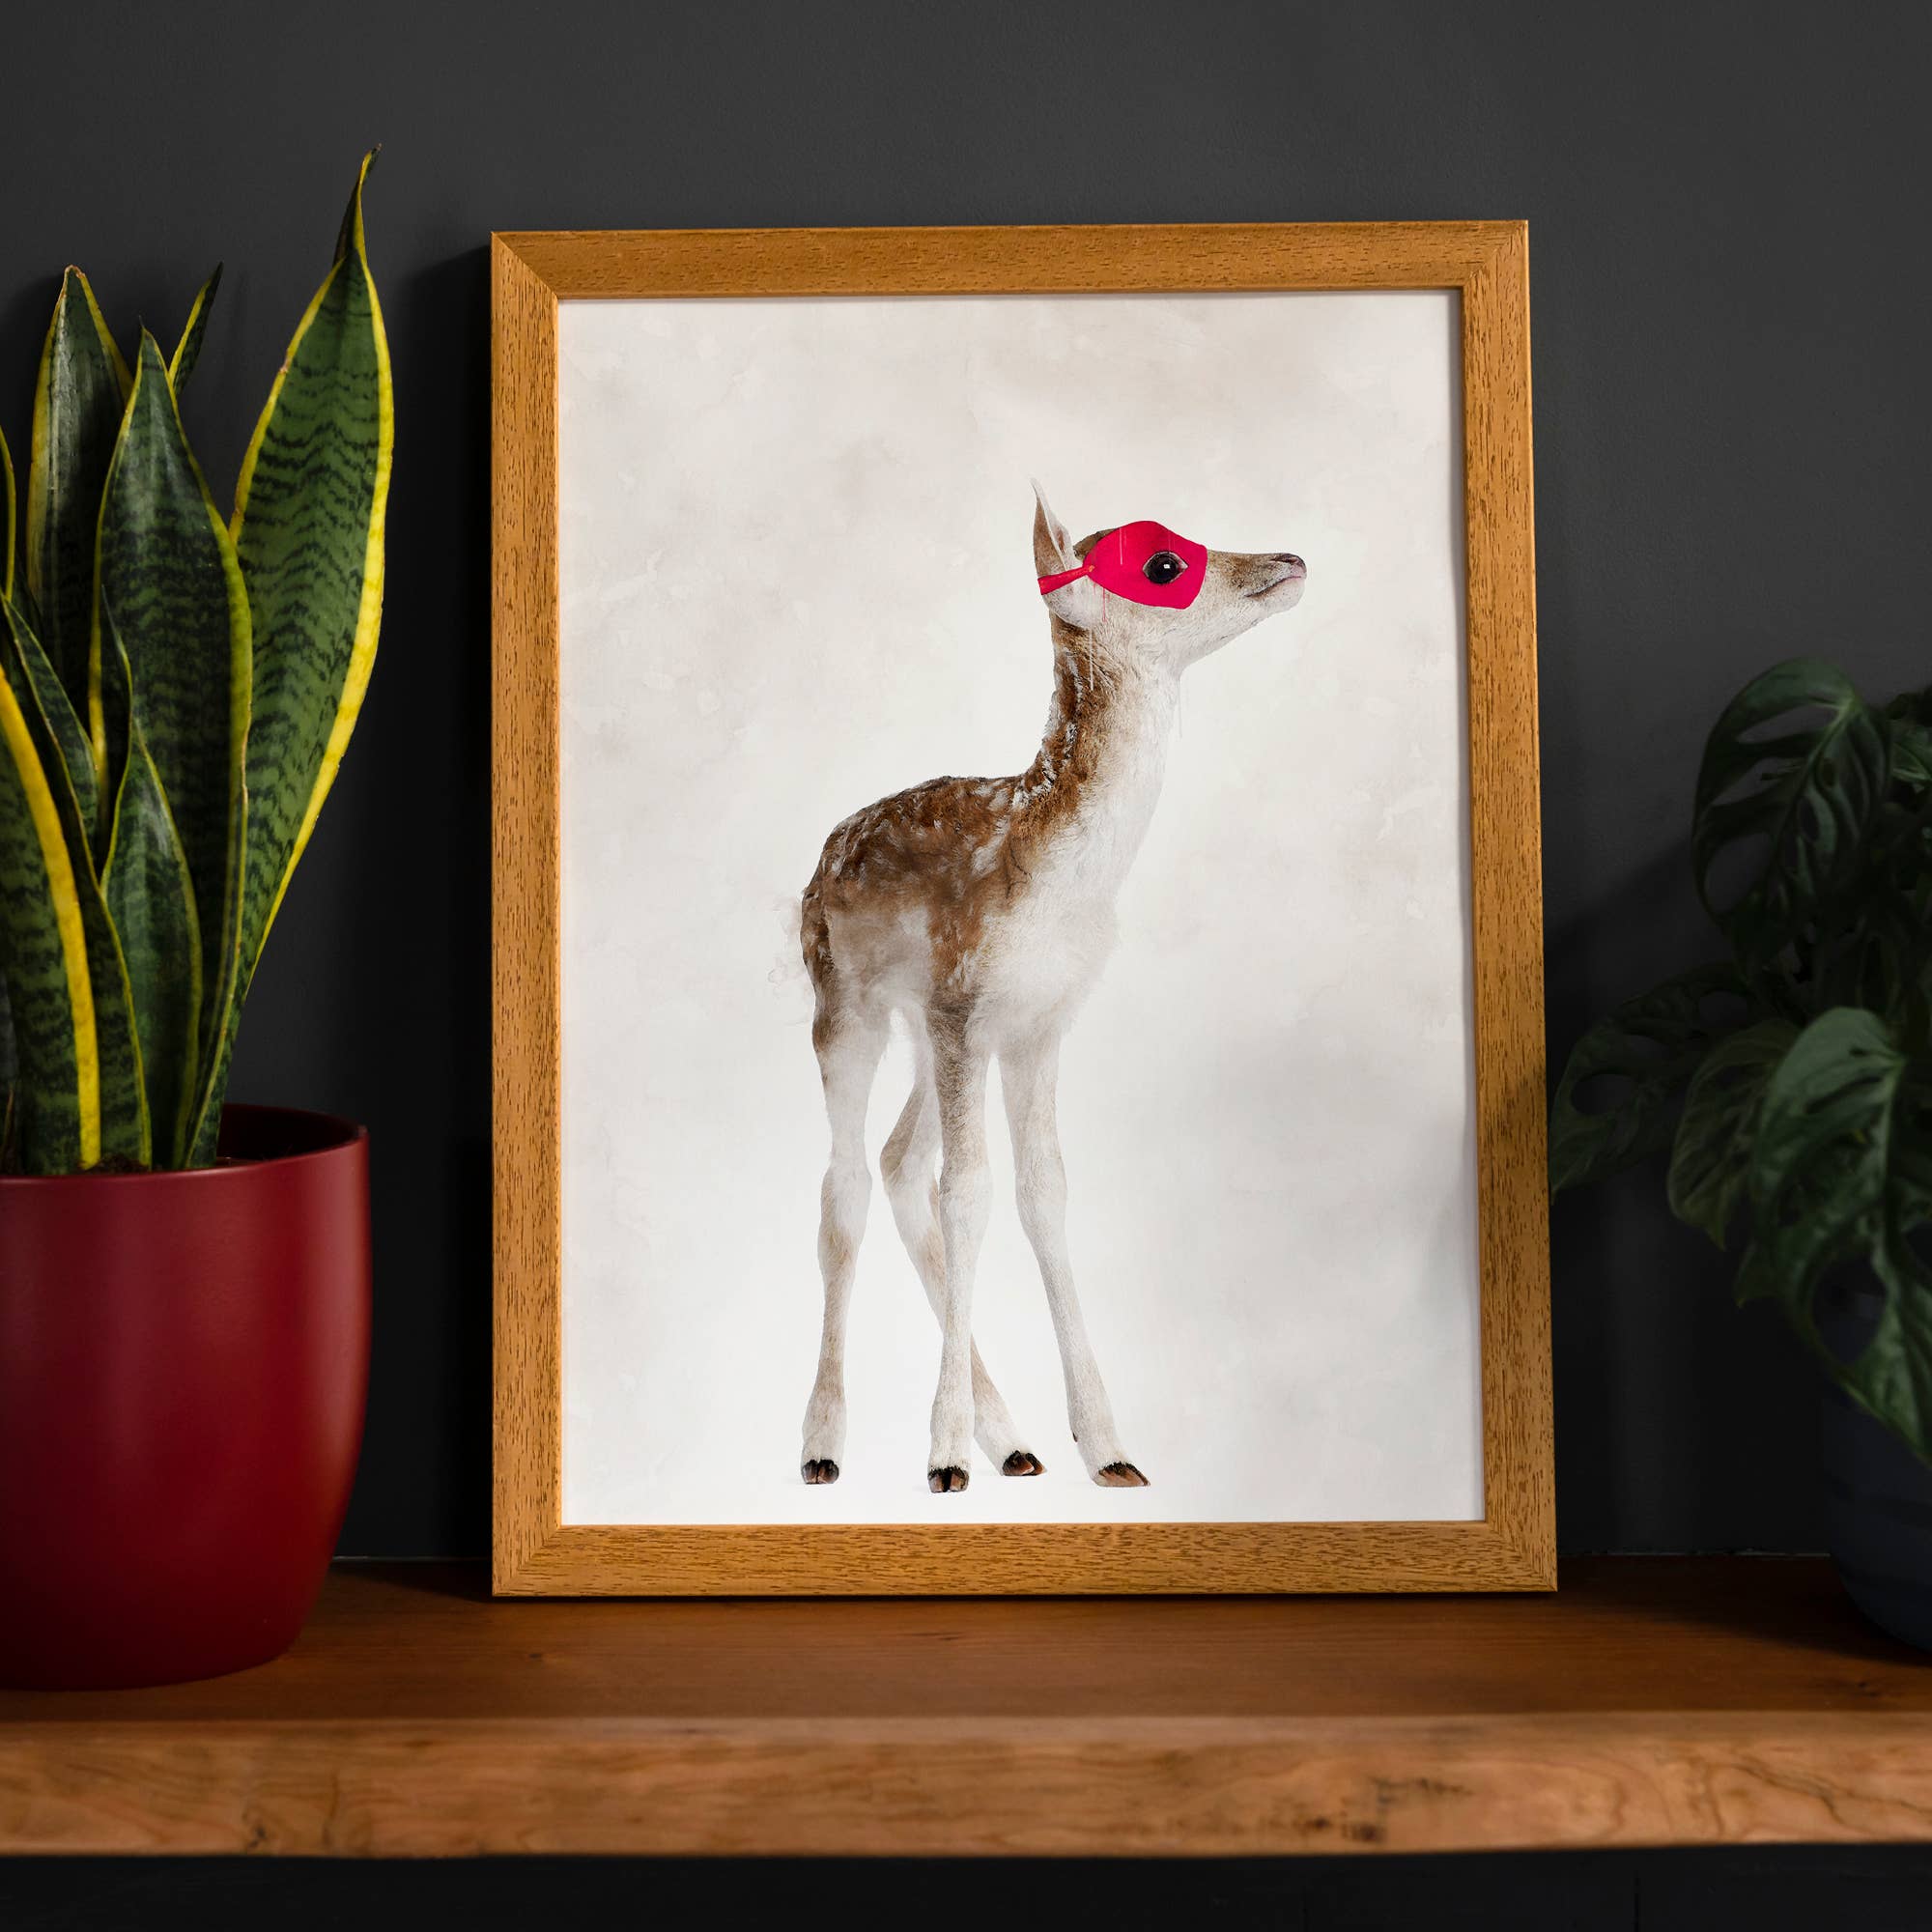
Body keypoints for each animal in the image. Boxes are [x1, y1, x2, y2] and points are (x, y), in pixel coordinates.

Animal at [797, 484, 1307, 1494]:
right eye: (1161, 563)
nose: (1289, 559)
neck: (1055, 883)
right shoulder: (964, 1005)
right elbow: (970, 1193)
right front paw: (942, 1459)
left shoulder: (1034, 1023)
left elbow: (1041, 1194)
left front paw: (1108, 1450)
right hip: (848, 1006)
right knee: (845, 1186)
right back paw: (826, 1447)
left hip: (929, 1034)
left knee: (898, 1161)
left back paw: (1014, 1443)